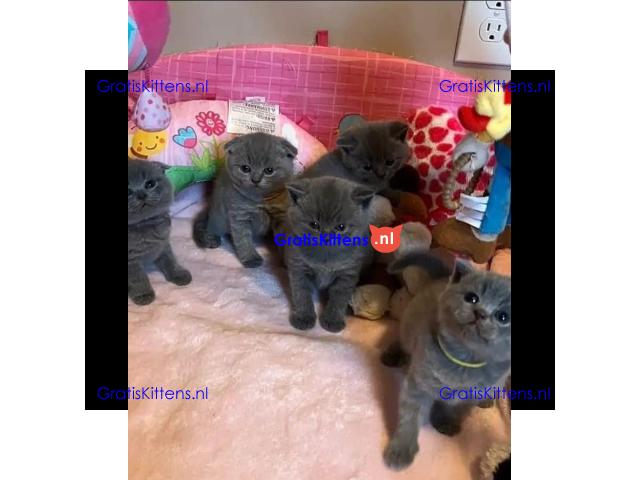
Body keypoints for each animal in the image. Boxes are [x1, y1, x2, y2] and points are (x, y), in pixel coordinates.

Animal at [128, 159, 192, 305]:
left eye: (150, 184)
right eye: (127, 191)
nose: (141, 195)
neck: (145, 223)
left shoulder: (163, 243)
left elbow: (170, 260)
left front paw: (179, 274)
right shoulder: (130, 259)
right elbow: (137, 277)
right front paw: (143, 294)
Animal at [193, 132, 297, 268]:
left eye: (269, 170)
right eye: (245, 168)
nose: (256, 179)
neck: (260, 200)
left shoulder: (280, 215)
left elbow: (283, 237)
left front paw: (286, 261)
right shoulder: (239, 215)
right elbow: (243, 240)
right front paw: (251, 259)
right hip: (218, 214)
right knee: (212, 225)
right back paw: (211, 238)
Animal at [278, 176, 375, 333]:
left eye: (341, 227)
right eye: (314, 225)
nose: (326, 236)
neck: (325, 258)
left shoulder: (348, 273)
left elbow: (339, 297)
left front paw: (333, 320)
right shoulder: (298, 267)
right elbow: (301, 293)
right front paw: (303, 317)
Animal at [381, 252, 511, 471]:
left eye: (503, 317)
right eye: (471, 298)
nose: (480, 313)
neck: (464, 361)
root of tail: (443, 276)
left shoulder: (470, 395)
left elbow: (457, 409)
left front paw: (446, 421)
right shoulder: (418, 382)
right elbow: (410, 416)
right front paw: (401, 450)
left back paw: (487, 399)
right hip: (409, 327)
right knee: (402, 339)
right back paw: (392, 355)